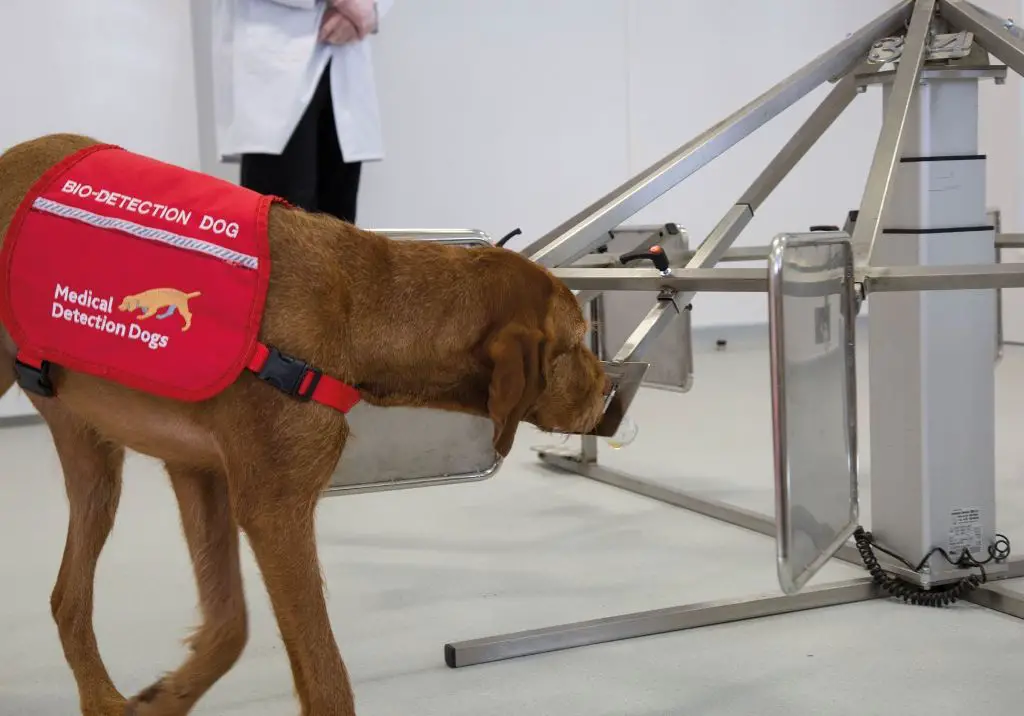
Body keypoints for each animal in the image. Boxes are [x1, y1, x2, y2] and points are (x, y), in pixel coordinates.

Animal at [0, 133, 606, 712]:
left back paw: (102, 698)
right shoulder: (275, 510)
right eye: (576, 343)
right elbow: (326, 677)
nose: (609, 389)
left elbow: (229, 626)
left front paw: (164, 698)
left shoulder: (199, 472)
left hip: (93, 461)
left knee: (67, 597)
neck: (365, 304)